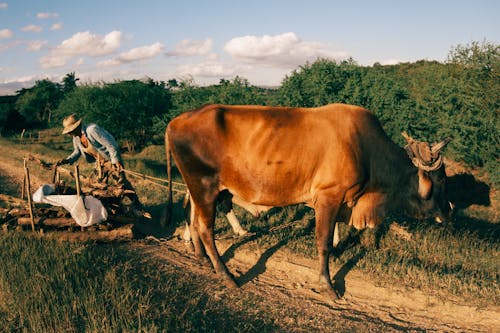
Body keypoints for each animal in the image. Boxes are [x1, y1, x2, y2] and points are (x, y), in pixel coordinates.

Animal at [165, 102, 454, 296]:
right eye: (441, 179)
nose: (449, 211)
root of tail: (176, 121)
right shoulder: (329, 195)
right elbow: (323, 241)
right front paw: (328, 285)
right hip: (204, 185)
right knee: (205, 228)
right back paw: (226, 276)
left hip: (198, 188)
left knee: (192, 218)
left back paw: (202, 258)